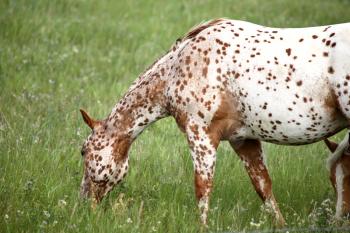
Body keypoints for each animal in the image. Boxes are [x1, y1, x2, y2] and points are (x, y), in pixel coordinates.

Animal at [78, 18, 350, 226]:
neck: (178, 68)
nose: (83, 204)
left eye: (83, 151)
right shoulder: (244, 140)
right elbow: (264, 187)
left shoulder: (202, 137)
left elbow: (202, 188)